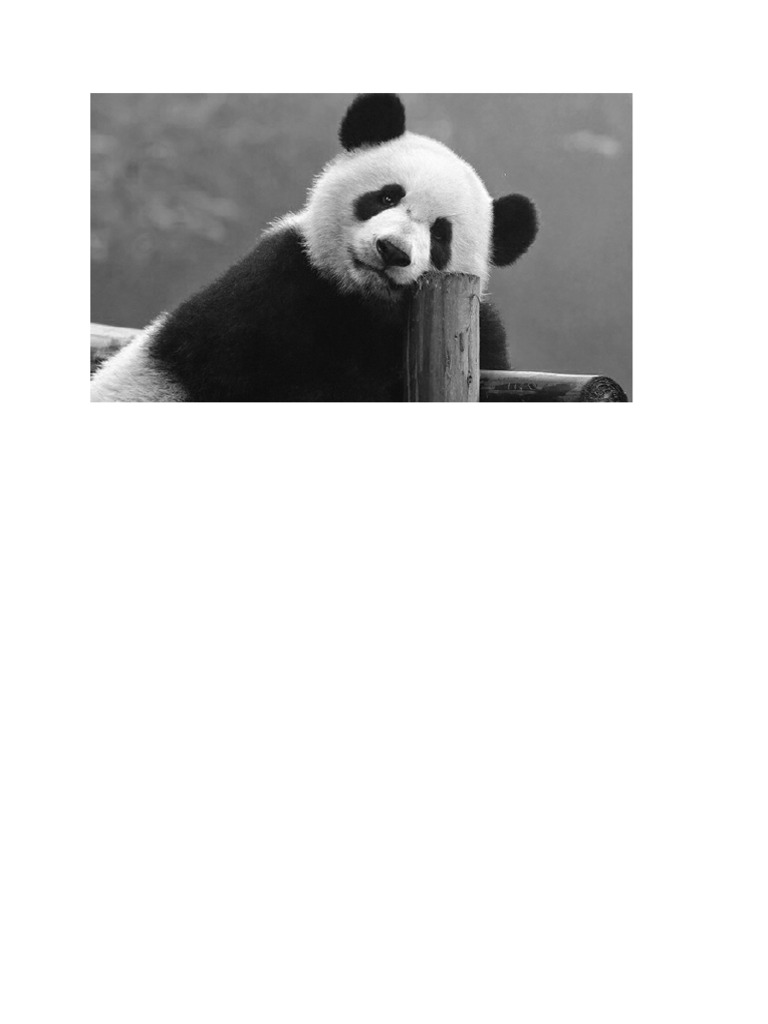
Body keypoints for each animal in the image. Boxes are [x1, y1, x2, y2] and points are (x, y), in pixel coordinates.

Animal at [91, 94, 538, 402]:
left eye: (441, 235)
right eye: (386, 197)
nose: (392, 250)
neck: (360, 300)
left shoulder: (479, 339)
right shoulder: (270, 293)